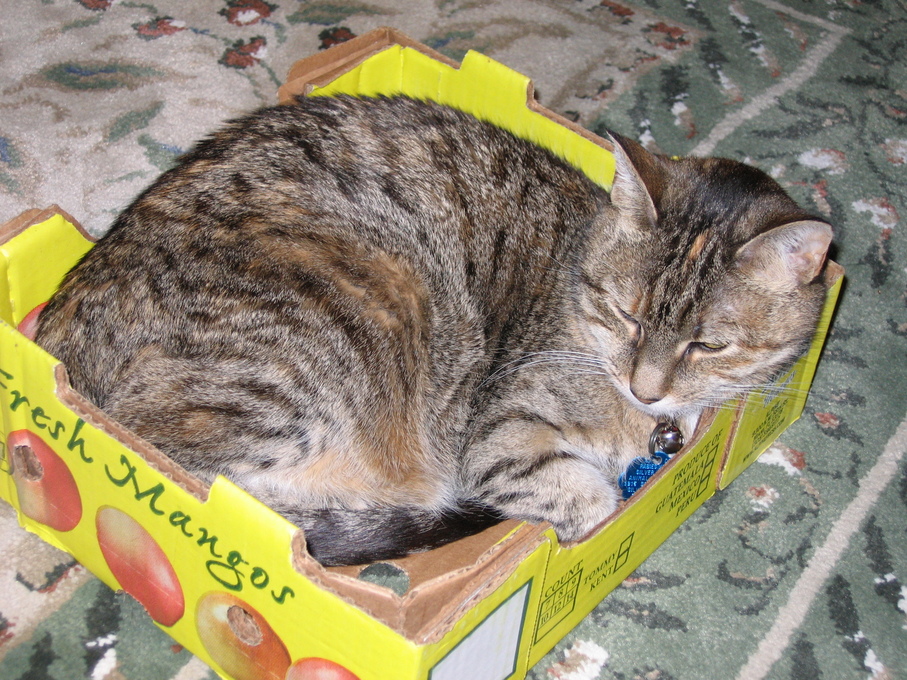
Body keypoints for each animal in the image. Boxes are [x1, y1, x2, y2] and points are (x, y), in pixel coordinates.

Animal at [35, 94, 832, 566]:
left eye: (708, 344)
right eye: (627, 312)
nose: (646, 387)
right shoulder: (503, 429)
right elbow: (586, 498)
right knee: (231, 479)